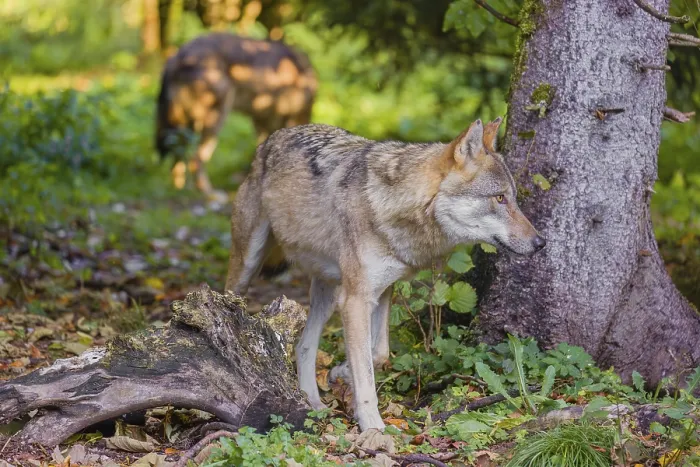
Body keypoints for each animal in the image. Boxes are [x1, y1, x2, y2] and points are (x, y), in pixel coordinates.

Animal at [155, 32, 317, 201]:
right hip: (215, 119)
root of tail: (179, 56)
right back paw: (210, 195)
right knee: (195, 160)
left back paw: (178, 190)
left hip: (184, 127)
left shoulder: (261, 123)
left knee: (177, 157)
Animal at [225, 117, 546, 432]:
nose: (540, 243)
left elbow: (378, 353)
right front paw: (373, 427)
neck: (393, 205)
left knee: (304, 345)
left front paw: (342, 371)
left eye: (514, 199)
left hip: (328, 293)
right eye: (500, 198)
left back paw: (313, 403)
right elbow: (366, 373)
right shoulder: (356, 299)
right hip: (248, 265)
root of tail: (273, 138)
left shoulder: (382, 290)